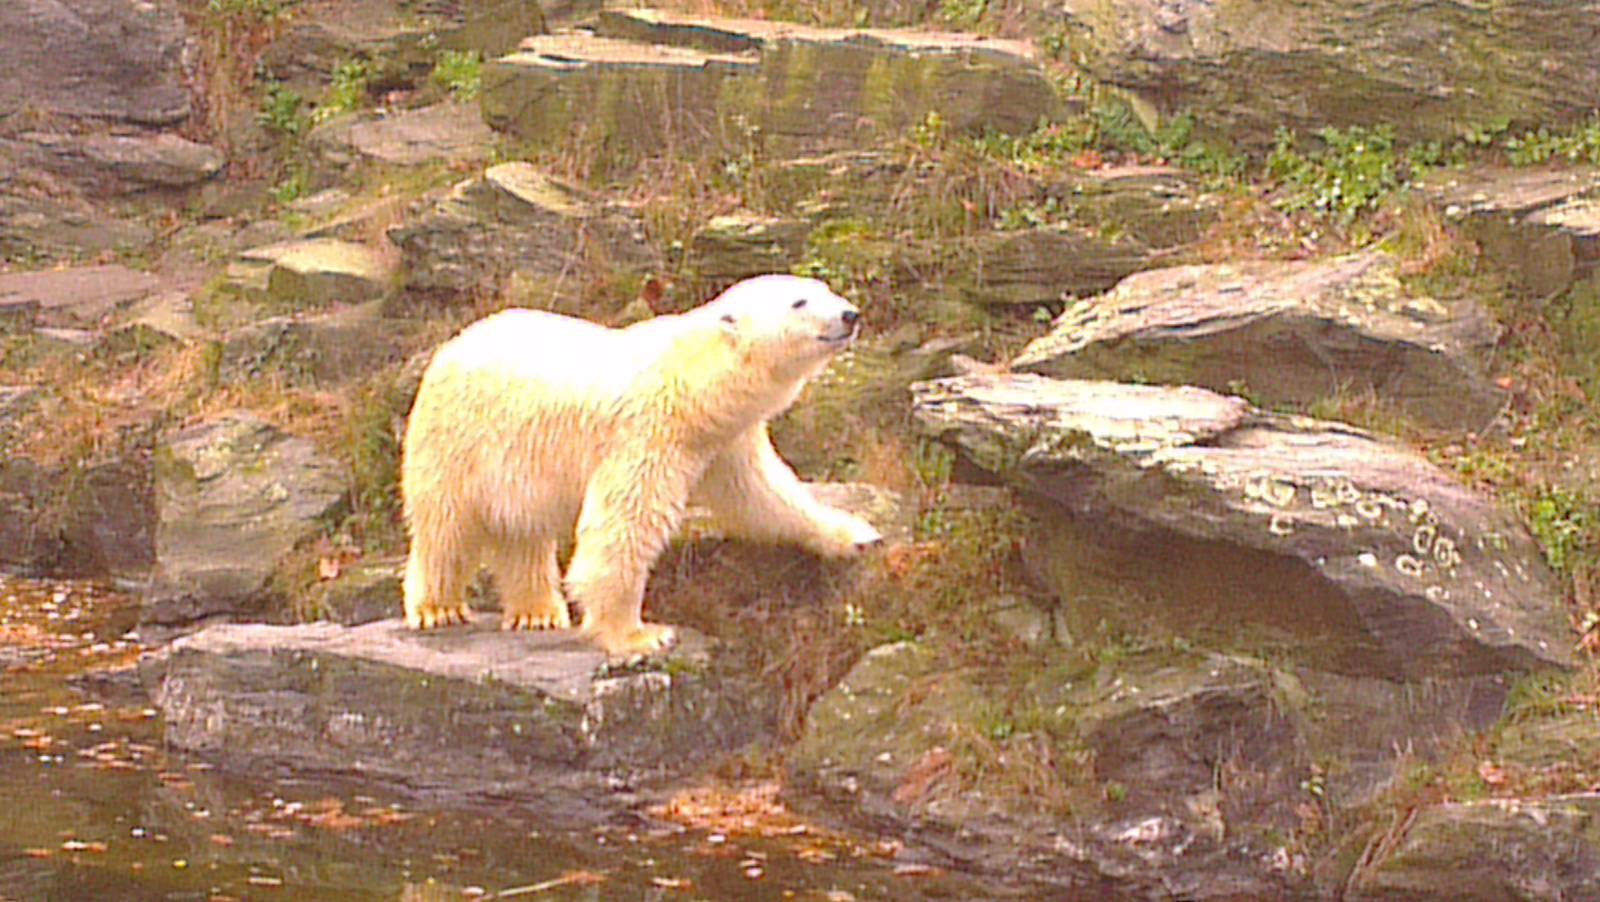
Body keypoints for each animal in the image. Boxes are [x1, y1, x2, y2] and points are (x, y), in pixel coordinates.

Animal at [400, 274, 884, 657]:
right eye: (799, 302)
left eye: (825, 289)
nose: (849, 315)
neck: (692, 383)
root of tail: (451, 344)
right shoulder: (647, 432)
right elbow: (625, 525)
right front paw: (638, 634)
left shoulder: (725, 441)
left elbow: (764, 495)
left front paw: (856, 536)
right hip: (456, 437)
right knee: (446, 525)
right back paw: (437, 608)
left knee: (521, 531)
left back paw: (537, 613)